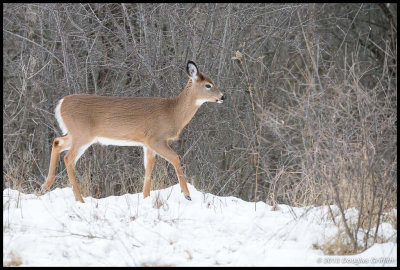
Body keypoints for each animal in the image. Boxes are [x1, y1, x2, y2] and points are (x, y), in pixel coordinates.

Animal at [41, 60, 225, 201]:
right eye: (208, 85)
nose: (223, 96)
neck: (172, 113)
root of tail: (61, 103)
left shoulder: (147, 143)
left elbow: (148, 168)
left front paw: (146, 197)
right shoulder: (156, 138)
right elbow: (175, 158)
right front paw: (186, 194)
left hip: (76, 134)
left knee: (57, 142)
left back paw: (45, 186)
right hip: (82, 134)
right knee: (68, 158)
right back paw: (79, 199)